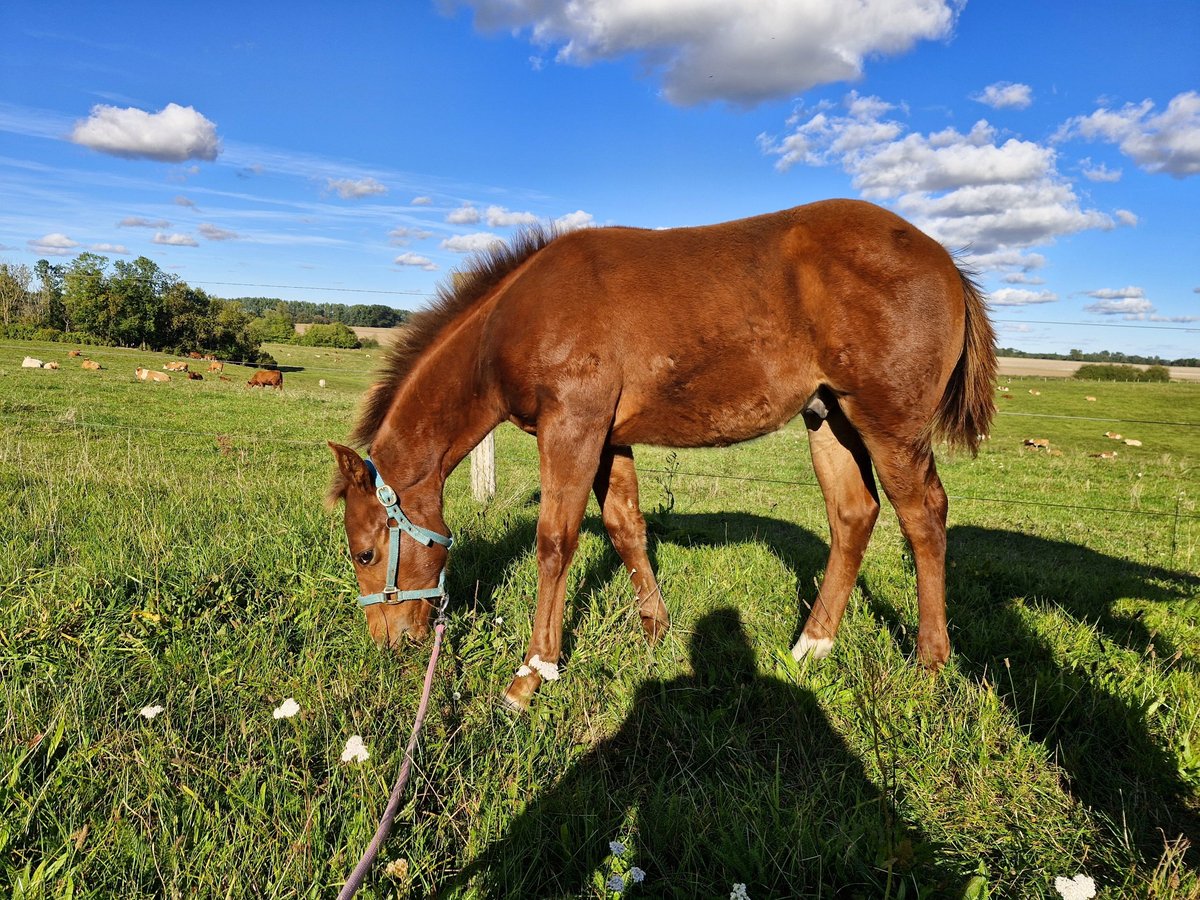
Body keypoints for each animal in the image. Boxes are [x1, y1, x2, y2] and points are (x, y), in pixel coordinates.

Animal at [328, 199, 996, 710]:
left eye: (365, 553)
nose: (389, 645)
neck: (511, 322)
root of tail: (944, 260)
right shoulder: (608, 436)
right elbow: (624, 525)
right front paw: (655, 630)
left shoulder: (573, 426)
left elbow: (555, 541)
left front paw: (532, 673)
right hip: (828, 416)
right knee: (854, 514)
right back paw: (812, 645)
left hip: (889, 424)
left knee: (924, 518)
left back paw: (930, 663)